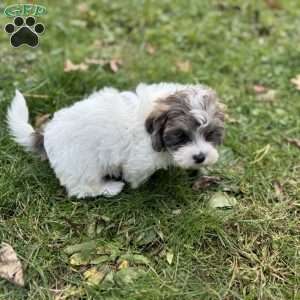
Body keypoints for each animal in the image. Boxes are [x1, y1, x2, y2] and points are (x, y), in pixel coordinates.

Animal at [7, 83, 224, 198]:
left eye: (210, 134)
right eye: (181, 136)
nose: (200, 157)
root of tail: (46, 134)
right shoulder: (139, 161)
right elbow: (136, 176)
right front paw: (140, 186)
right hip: (82, 165)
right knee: (82, 188)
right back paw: (110, 187)